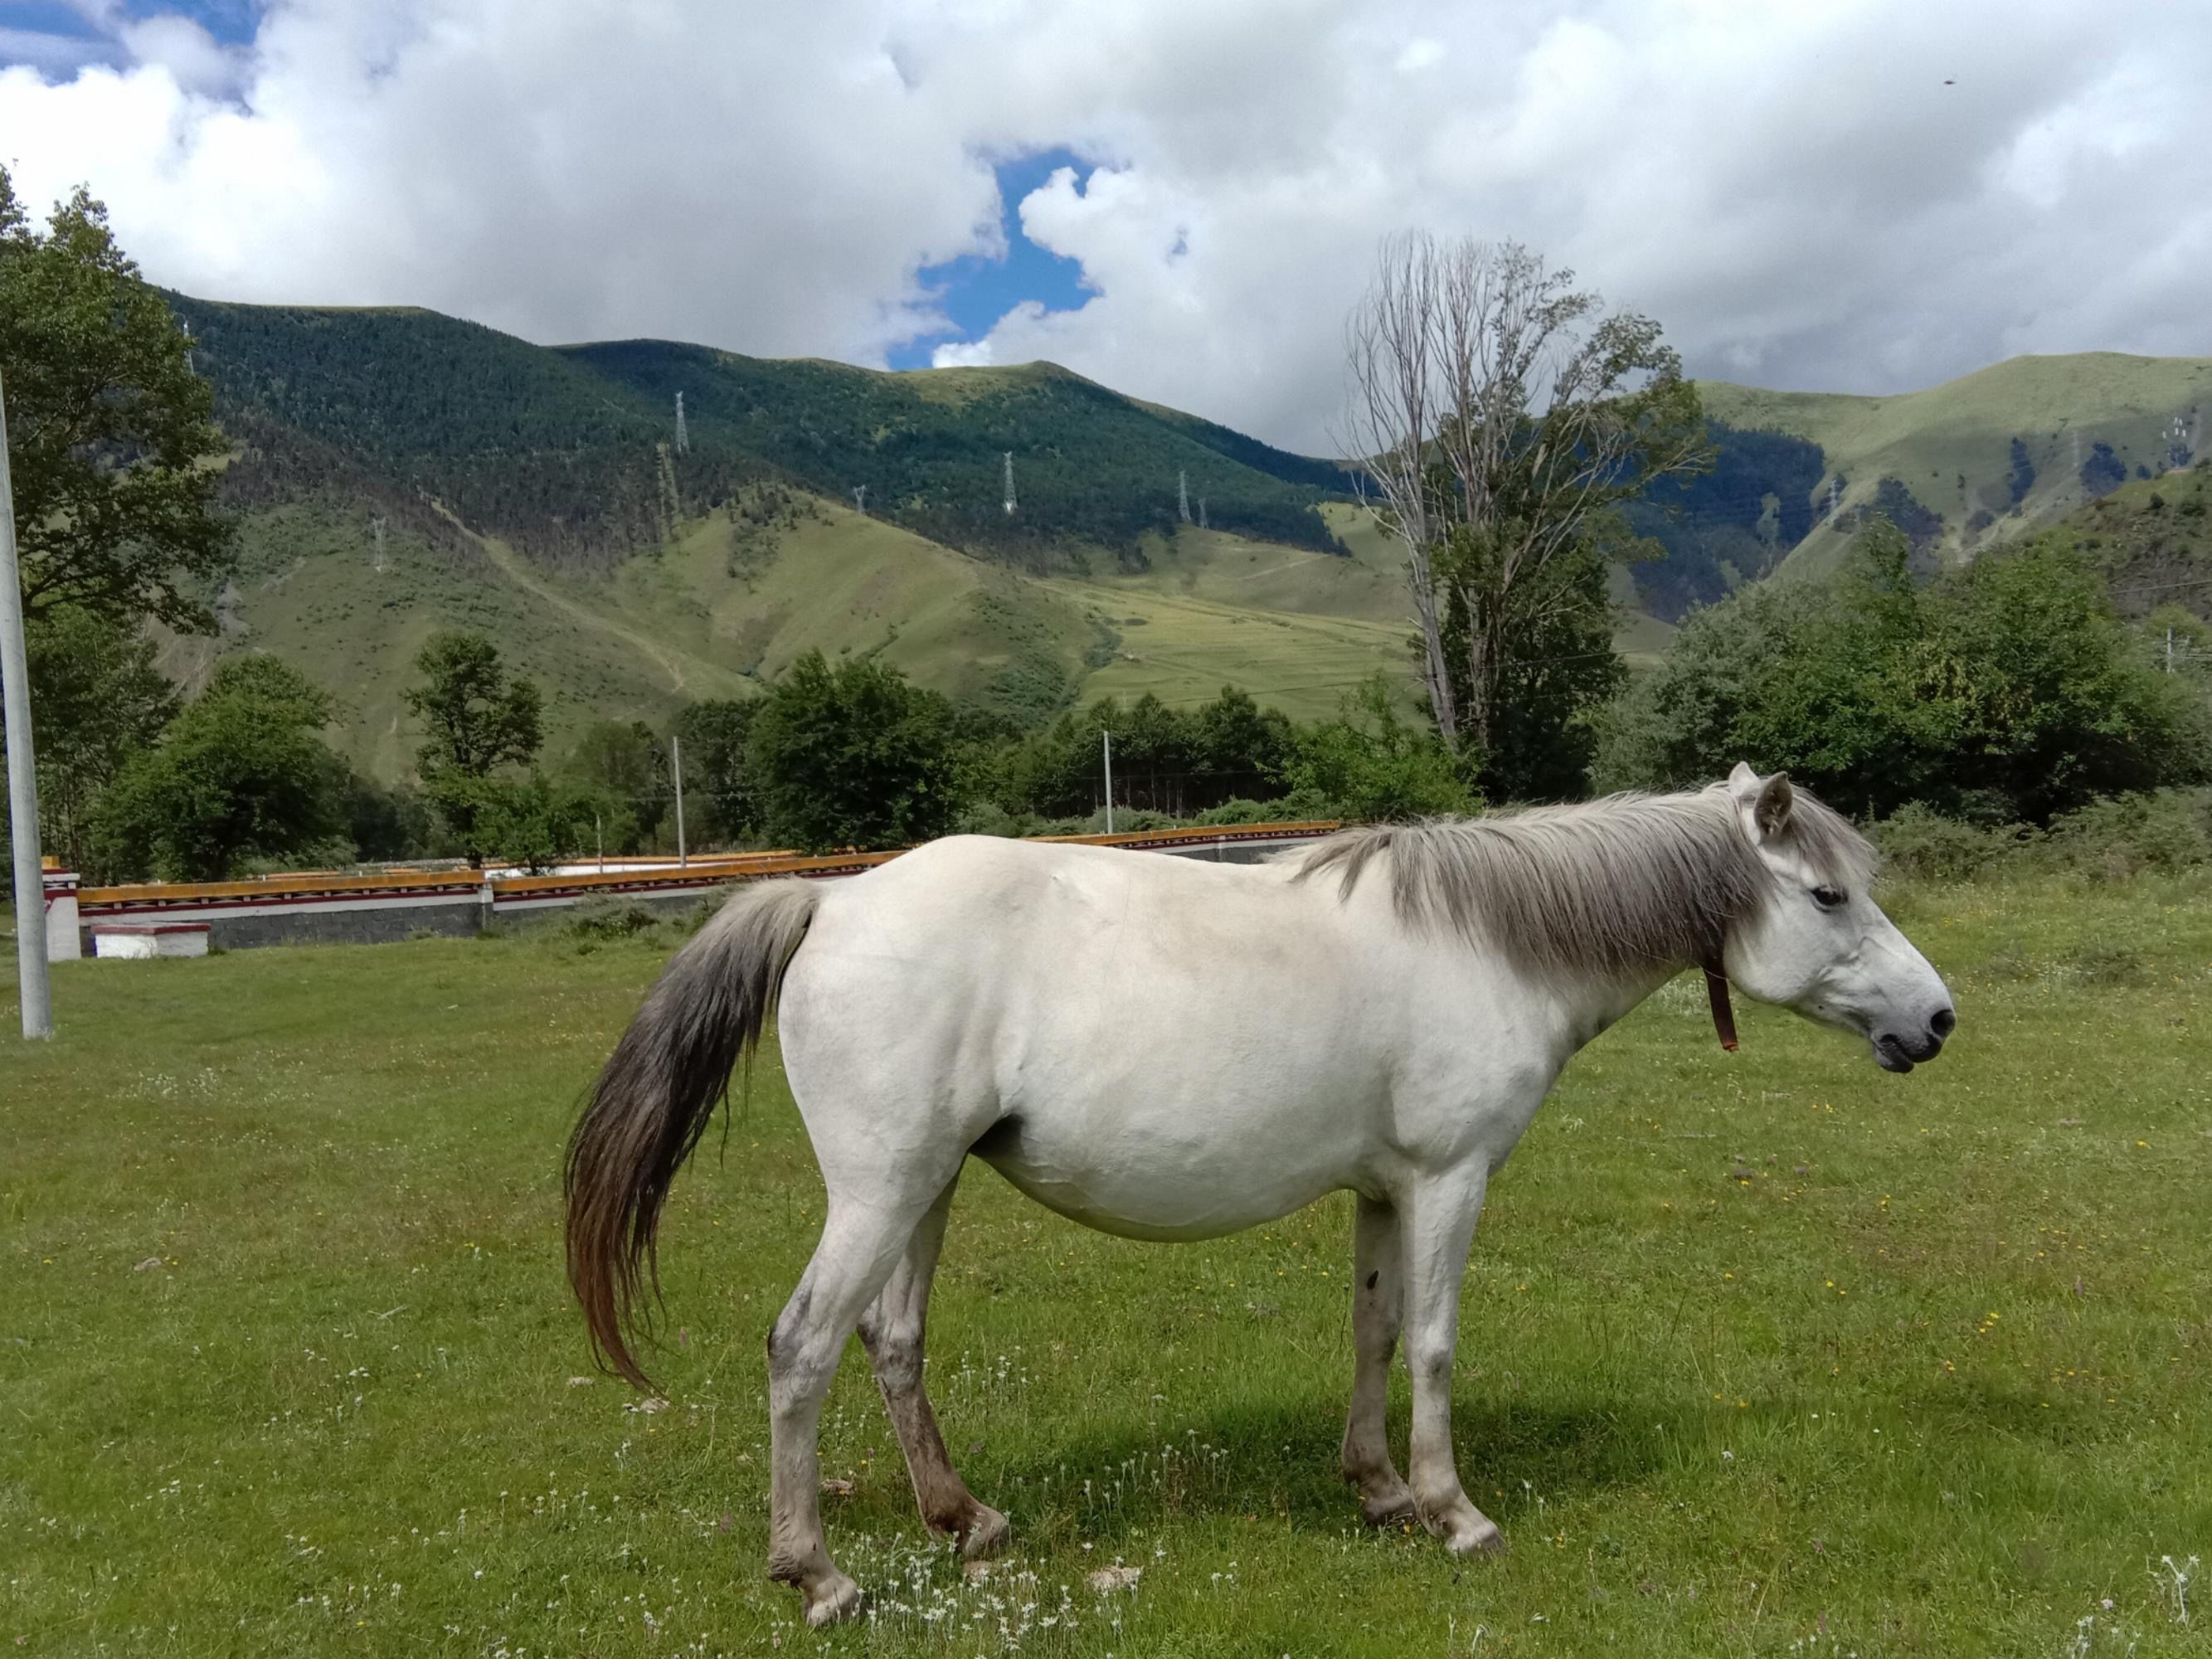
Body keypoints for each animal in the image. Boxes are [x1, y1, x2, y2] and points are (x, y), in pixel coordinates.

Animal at [571, 774, 1955, 1627]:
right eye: (1826, 894)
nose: (1934, 1020)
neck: (1489, 940)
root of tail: (833, 897)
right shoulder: (1450, 1179)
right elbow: (1435, 1343)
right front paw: (1453, 1513)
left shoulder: (1385, 1190)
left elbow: (1374, 1330)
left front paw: (1377, 1489)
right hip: (877, 1194)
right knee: (801, 1349)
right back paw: (817, 1577)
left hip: (924, 1192)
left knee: (891, 1340)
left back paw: (964, 1521)